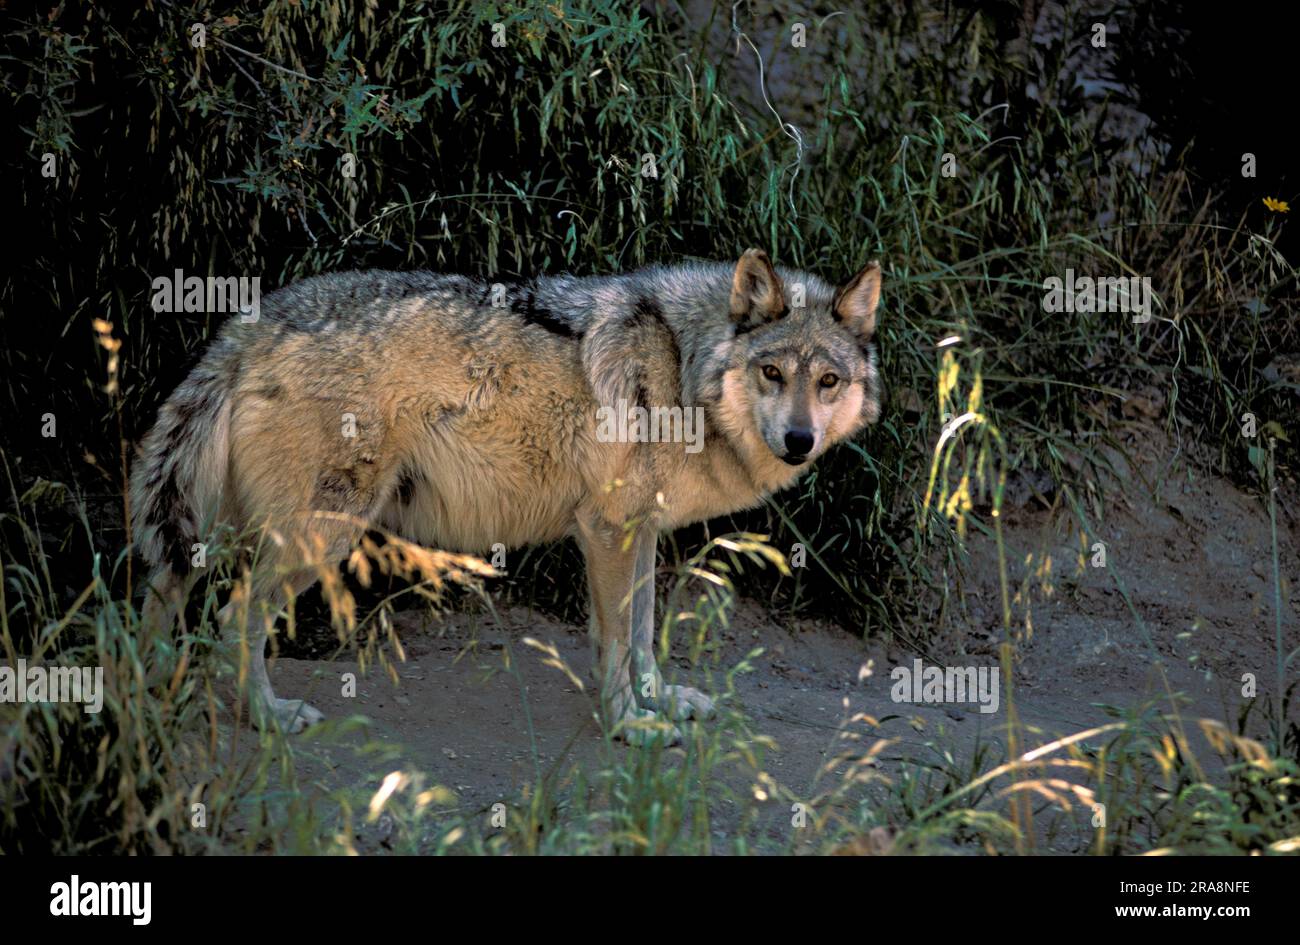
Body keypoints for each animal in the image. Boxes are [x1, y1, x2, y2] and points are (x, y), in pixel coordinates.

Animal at [131, 250, 883, 748]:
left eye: (827, 381)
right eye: (772, 372)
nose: (798, 440)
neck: (681, 364)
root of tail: (251, 324)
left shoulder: (638, 532)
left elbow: (641, 638)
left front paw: (659, 702)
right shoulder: (607, 530)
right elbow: (616, 644)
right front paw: (628, 726)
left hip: (228, 533)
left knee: (172, 600)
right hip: (321, 534)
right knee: (233, 619)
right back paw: (268, 718)